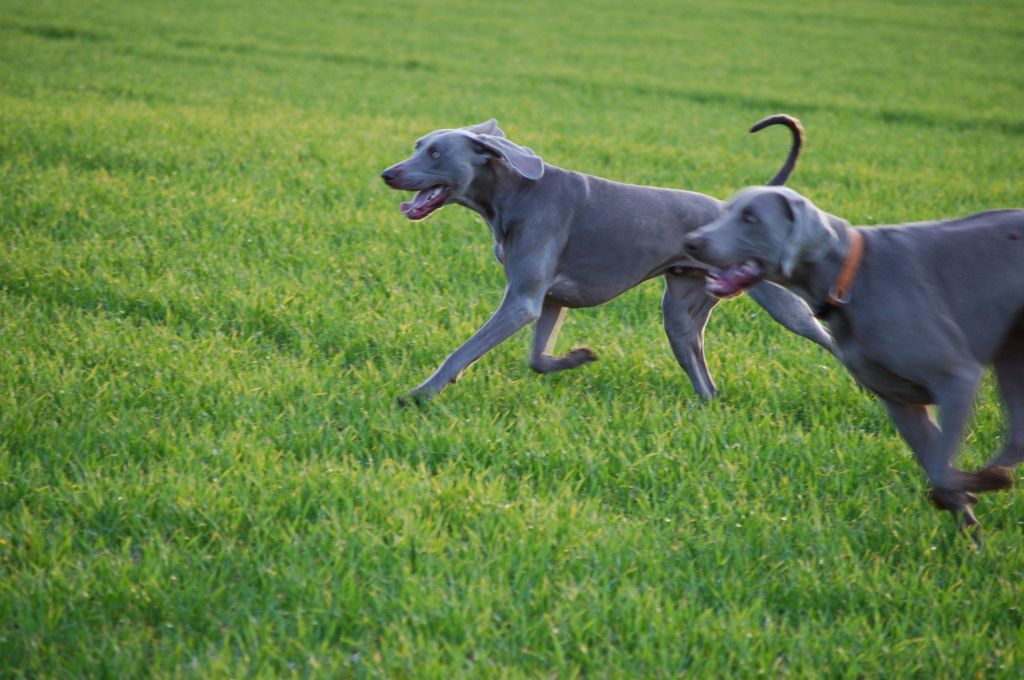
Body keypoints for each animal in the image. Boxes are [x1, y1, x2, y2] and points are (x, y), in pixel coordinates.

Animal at [380, 120, 835, 403]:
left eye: (435, 154)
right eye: (418, 146)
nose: (387, 173)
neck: (513, 193)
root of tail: (733, 211)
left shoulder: (522, 301)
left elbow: (462, 352)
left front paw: (419, 395)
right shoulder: (550, 300)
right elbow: (537, 360)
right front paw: (579, 358)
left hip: (781, 304)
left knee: (826, 337)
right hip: (681, 311)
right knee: (705, 381)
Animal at [684, 186, 1019, 532]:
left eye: (751, 218)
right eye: (726, 211)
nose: (691, 241)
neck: (849, 276)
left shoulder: (956, 378)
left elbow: (944, 468)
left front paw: (982, 488)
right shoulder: (901, 403)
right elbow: (940, 471)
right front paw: (969, 521)